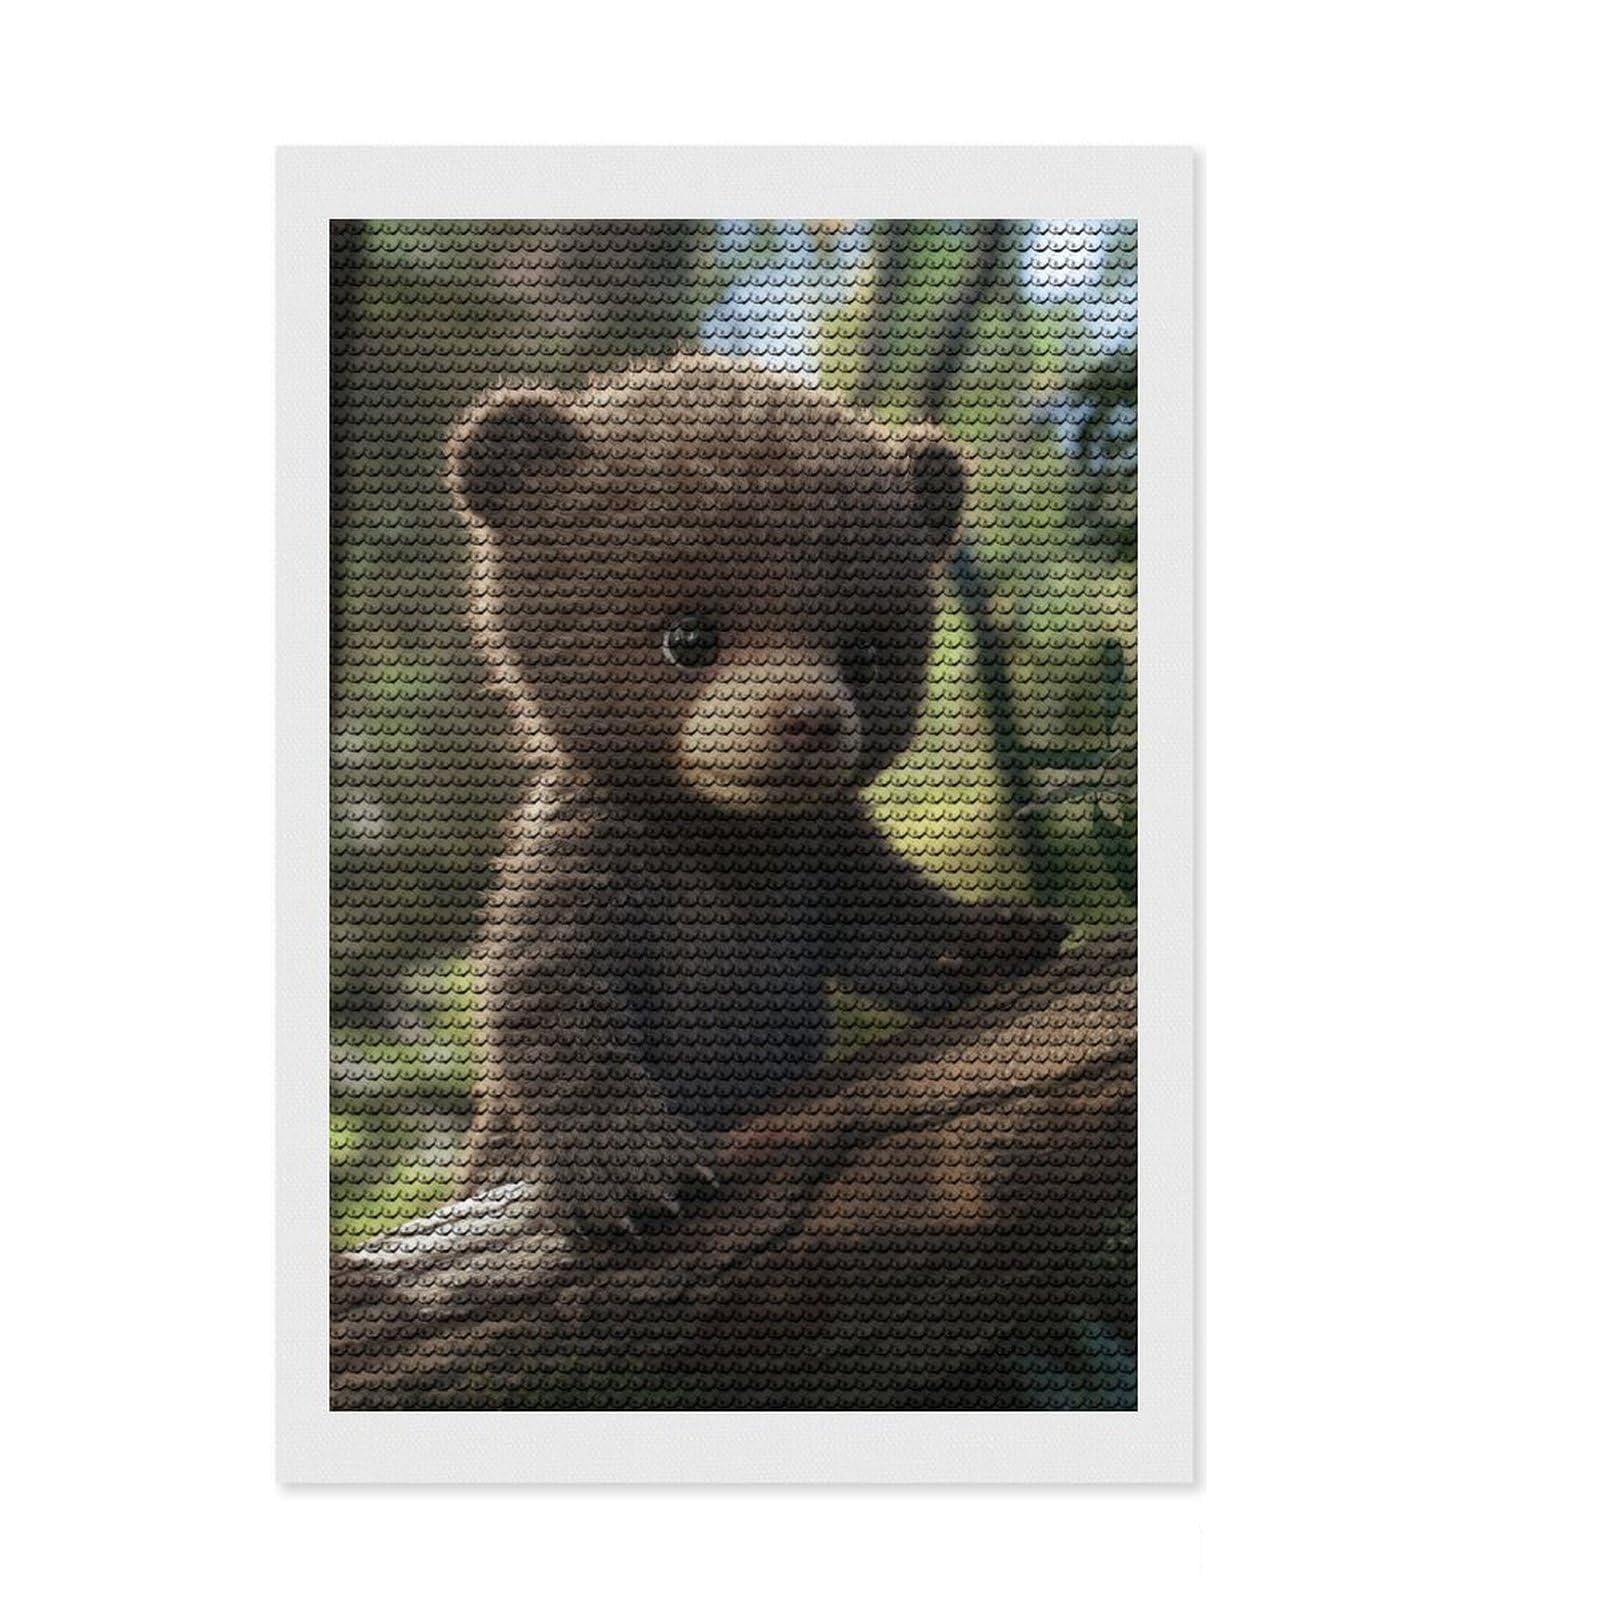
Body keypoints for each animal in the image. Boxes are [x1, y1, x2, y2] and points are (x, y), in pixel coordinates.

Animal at [447, 353, 1065, 1234]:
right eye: (689, 636)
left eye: (863, 653)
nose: (808, 722)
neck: (727, 834)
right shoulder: (597, 847)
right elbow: (550, 991)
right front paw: (631, 1169)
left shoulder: (819, 851)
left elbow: (891, 928)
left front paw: (998, 938)